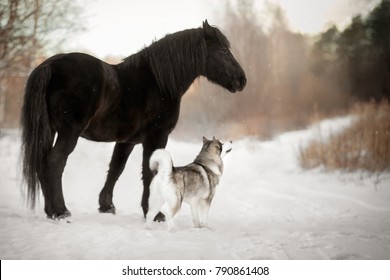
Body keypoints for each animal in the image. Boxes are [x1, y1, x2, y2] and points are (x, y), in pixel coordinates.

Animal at [20, 20, 247, 220]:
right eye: (223, 51)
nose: (242, 80)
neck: (159, 82)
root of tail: (50, 65)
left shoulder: (126, 141)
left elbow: (116, 169)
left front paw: (107, 206)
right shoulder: (156, 137)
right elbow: (149, 172)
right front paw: (154, 214)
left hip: (49, 131)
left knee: (42, 163)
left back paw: (50, 210)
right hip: (69, 133)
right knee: (55, 162)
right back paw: (60, 211)